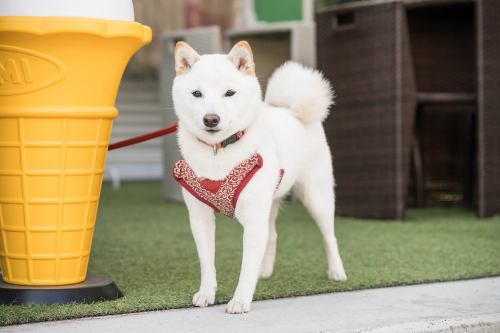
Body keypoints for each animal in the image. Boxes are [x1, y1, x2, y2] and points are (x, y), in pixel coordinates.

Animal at [170, 40, 346, 312]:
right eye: (197, 94)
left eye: (229, 93)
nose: (211, 119)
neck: (218, 150)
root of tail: (291, 111)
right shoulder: (200, 218)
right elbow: (207, 262)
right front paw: (206, 293)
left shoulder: (253, 218)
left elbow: (246, 266)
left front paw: (241, 299)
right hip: (270, 201)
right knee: (271, 235)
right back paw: (264, 271)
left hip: (317, 197)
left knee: (329, 236)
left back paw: (337, 271)